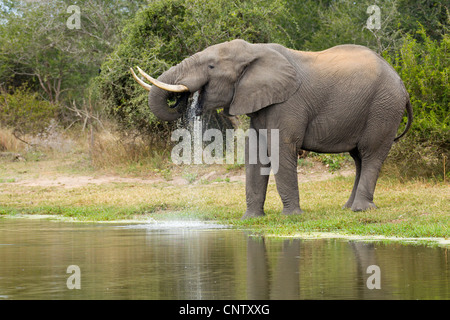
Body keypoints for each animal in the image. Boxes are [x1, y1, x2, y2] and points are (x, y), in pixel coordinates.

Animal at [130, 38, 412, 219]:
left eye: (211, 67)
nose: (184, 99)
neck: (255, 52)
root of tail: (402, 83)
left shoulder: (288, 103)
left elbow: (280, 149)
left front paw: (291, 216)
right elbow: (254, 152)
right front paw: (251, 219)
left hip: (384, 107)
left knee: (371, 153)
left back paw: (360, 210)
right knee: (358, 158)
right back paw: (347, 208)